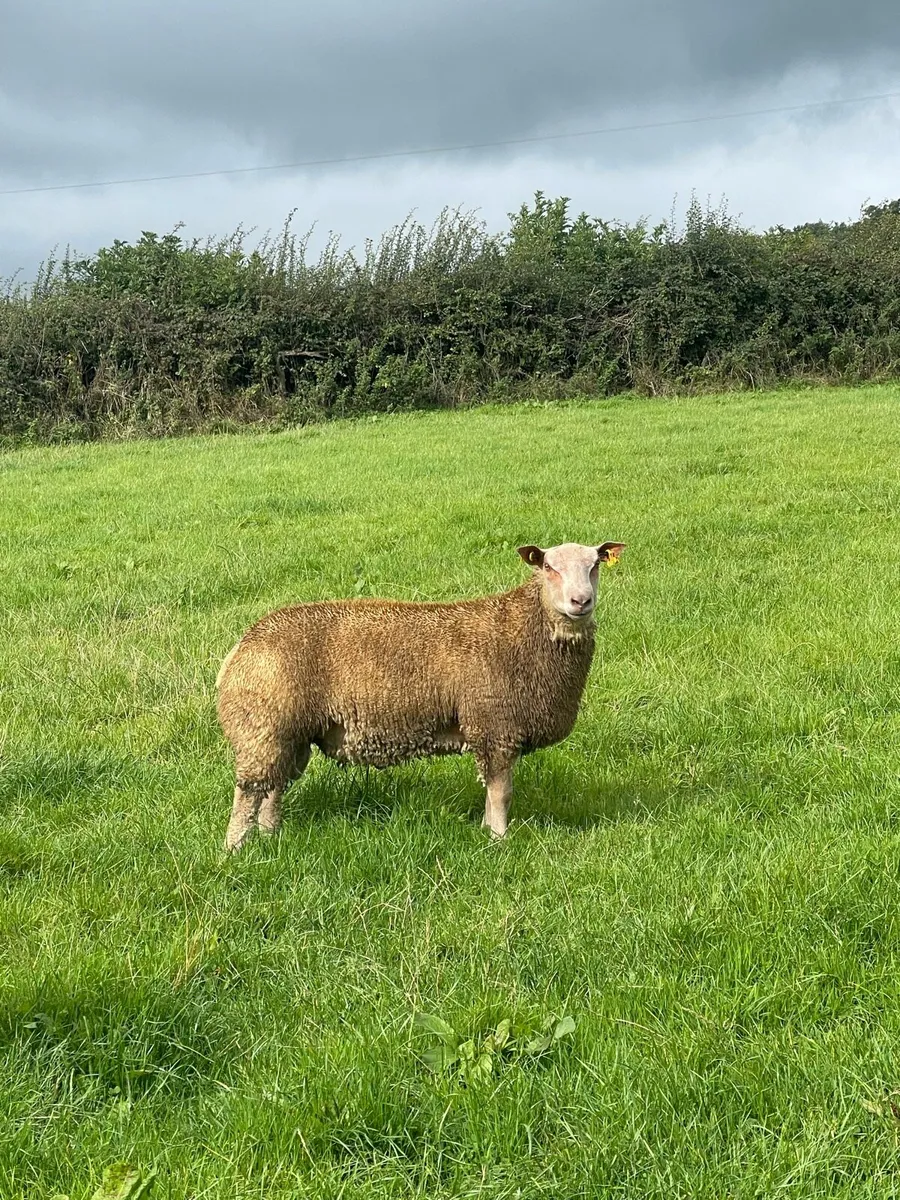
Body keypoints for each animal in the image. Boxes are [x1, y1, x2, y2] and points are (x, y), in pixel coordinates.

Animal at [216, 540, 626, 850]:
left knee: (274, 788)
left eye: (595, 566)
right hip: (263, 726)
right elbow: (501, 793)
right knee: (249, 792)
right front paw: (498, 839)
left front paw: (486, 831)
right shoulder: (494, 727)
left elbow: (493, 791)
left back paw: (271, 834)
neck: (525, 628)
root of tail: (240, 647)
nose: (580, 602)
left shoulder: (493, 731)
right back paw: (235, 849)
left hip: (290, 734)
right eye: (549, 567)